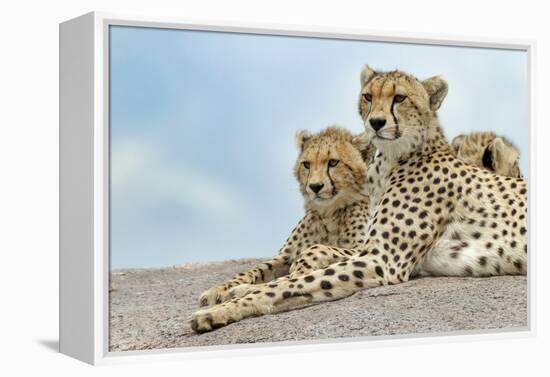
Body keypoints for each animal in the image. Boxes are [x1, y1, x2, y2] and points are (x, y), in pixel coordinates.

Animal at [191, 65, 532, 332]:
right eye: (368, 97)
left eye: (399, 98)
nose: (376, 122)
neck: (390, 160)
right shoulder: (376, 253)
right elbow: (290, 276)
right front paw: (233, 291)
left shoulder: (381, 260)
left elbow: (295, 282)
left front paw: (220, 310)